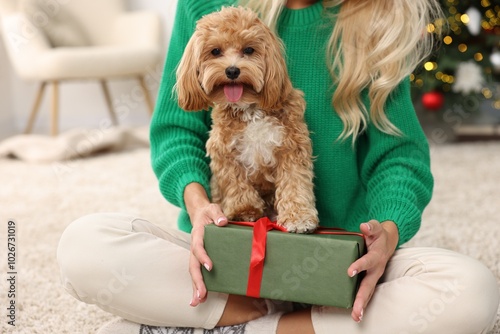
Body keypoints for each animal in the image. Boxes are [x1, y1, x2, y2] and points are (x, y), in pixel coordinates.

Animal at [176, 6, 316, 234]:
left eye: (249, 50)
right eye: (215, 51)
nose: (232, 70)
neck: (249, 107)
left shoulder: (292, 147)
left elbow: (295, 183)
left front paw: (299, 217)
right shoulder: (225, 153)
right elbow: (237, 185)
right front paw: (245, 211)